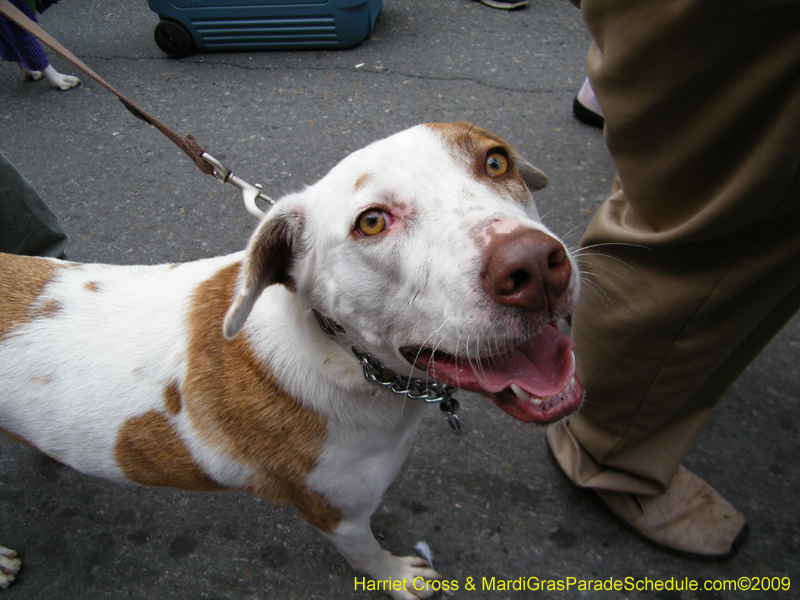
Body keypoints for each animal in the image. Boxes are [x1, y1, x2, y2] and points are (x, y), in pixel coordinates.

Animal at [3, 122, 584, 596]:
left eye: (496, 162)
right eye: (372, 222)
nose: (534, 266)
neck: (345, 361)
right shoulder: (339, 518)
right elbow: (370, 557)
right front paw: (400, 578)